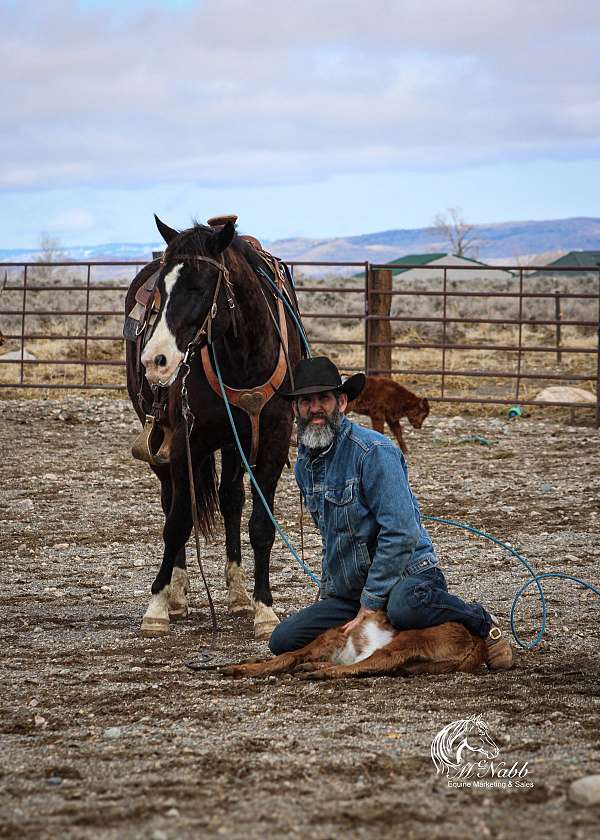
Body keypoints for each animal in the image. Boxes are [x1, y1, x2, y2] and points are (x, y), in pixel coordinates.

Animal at [126, 217, 304, 636]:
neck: (243, 355)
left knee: (230, 500)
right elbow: (177, 521)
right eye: (160, 291)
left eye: (200, 286)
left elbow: (261, 525)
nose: (155, 360)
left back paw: (237, 594)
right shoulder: (187, 441)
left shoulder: (272, 441)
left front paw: (264, 609)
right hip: (162, 440)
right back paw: (177, 594)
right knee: (171, 500)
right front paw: (157, 606)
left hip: (234, 443)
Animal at [216, 612, 488, 680]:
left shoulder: (324, 642)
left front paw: (239, 669)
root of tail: (475, 640)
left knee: (379, 661)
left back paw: (321, 672)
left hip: (409, 639)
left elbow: (286, 656)